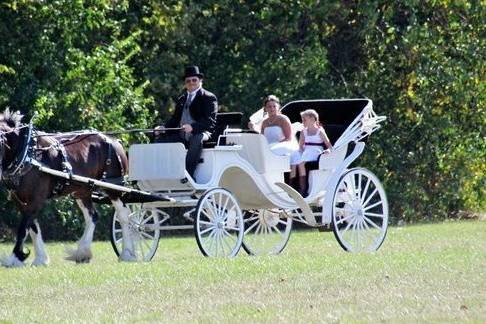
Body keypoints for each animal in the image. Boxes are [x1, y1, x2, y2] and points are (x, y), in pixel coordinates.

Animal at [0, 109, 137, 266]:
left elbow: (24, 227)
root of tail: (115, 141)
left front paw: (14, 258)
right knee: (92, 216)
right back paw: (82, 253)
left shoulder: (36, 198)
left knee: (123, 215)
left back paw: (127, 254)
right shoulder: (20, 199)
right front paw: (40, 259)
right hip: (82, 191)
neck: (27, 151)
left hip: (114, 188)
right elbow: (32, 226)